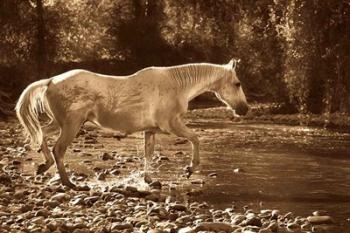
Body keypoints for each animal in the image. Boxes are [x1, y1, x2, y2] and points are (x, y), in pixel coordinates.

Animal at [15, 59, 247, 190]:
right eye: (237, 83)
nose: (244, 109)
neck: (175, 85)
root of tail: (51, 81)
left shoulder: (151, 131)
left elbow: (148, 154)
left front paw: (149, 180)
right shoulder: (171, 125)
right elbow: (195, 139)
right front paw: (190, 168)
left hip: (60, 123)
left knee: (41, 135)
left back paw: (43, 166)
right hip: (71, 125)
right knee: (59, 149)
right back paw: (68, 183)